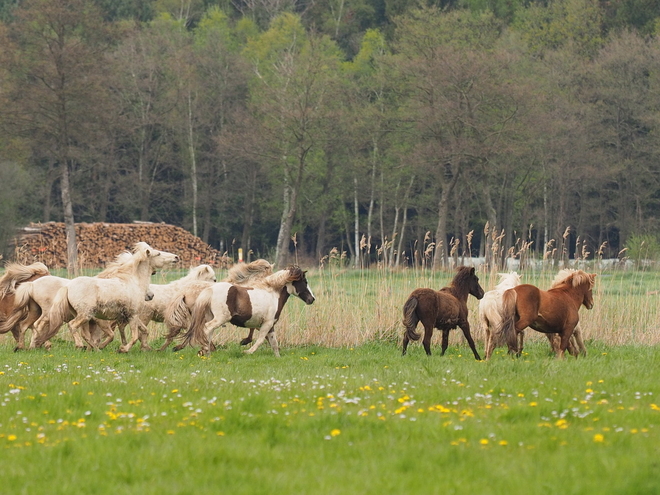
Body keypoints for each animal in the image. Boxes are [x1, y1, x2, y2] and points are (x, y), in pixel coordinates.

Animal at [34, 243, 179, 352]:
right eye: (158, 254)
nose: (176, 257)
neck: (133, 281)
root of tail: (68, 286)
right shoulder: (133, 315)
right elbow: (134, 336)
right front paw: (123, 349)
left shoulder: (126, 317)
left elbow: (132, 332)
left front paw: (131, 347)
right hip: (84, 314)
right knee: (71, 326)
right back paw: (79, 345)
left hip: (82, 316)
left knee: (84, 334)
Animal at [177, 268, 316, 356]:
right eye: (304, 282)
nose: (312, 299)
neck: (273, 295)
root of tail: (210, 290)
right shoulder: (267, 323)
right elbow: (260, 340)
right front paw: (247, 351)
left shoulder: (269, 325)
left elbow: (274, 343)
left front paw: (278, 358)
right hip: (220, 318)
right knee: (207, 328)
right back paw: (206, 351)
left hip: (211, 316)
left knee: (208, 332)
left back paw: (206, 352)